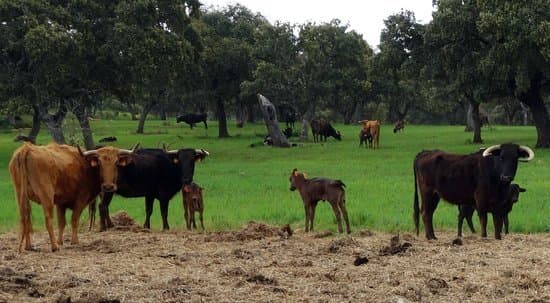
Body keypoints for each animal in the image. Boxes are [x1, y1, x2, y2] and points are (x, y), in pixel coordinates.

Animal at [8, 144, 139, 253]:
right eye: (99, 163)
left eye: (116, 163)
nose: (108, 186)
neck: (87, 166)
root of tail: (27, 148)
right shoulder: (80, 201)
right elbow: (74, 220)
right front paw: (74, 241)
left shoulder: (60, 203)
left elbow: (61, 223)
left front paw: (61, 241)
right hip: (46, 197)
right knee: (48, 220)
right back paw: (54, 247)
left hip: (20, 196)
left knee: (25, 218)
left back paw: (29, 246)